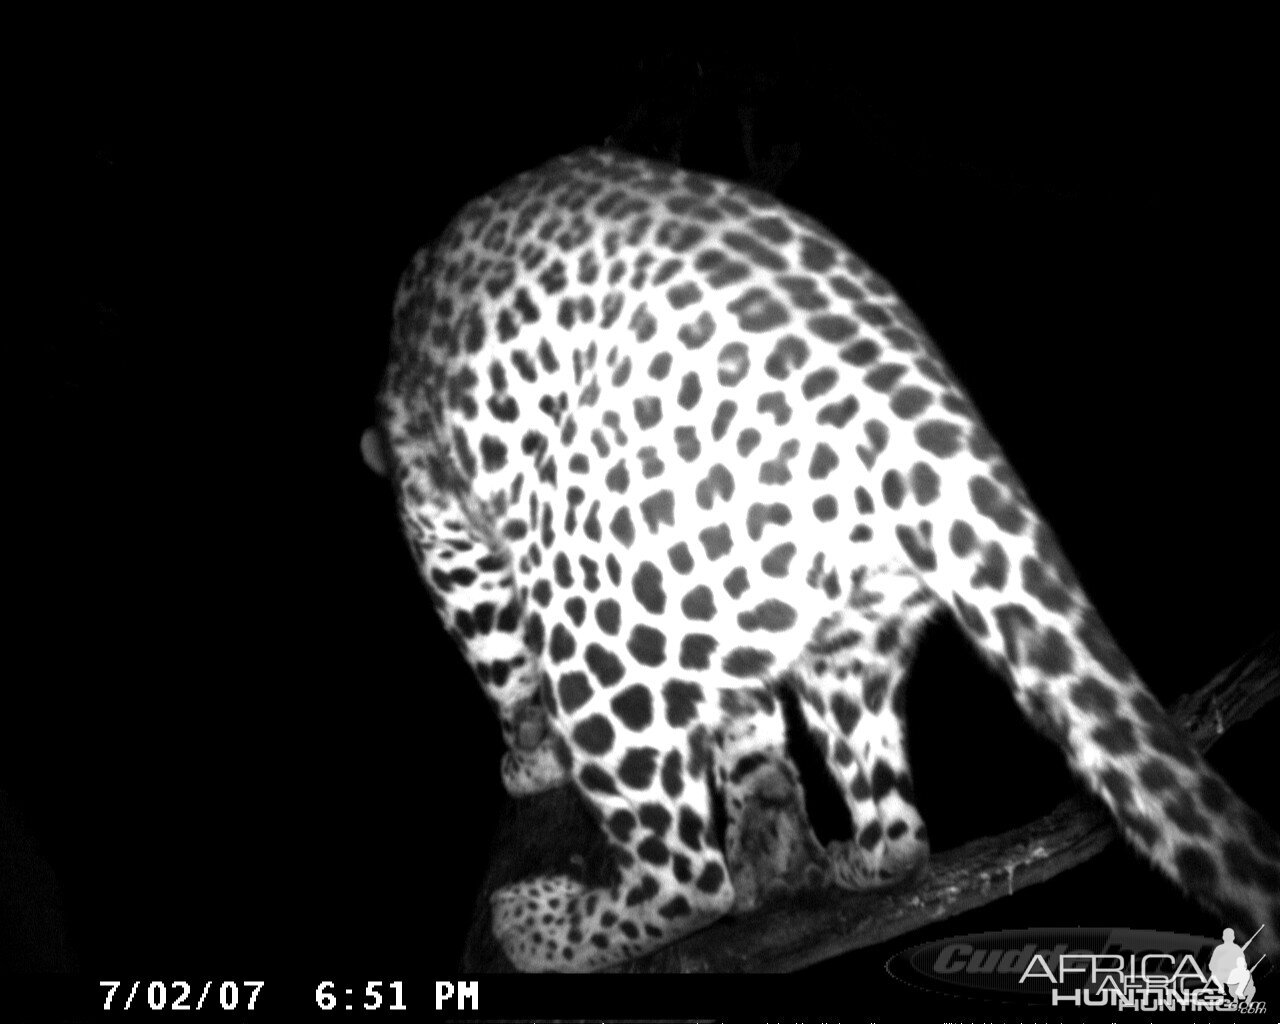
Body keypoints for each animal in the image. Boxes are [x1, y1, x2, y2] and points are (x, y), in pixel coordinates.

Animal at [363, 147, 1280, 972]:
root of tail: (926, 415)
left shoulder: (443, 528)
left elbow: (496, 655)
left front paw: (530, 757)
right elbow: (746, 718)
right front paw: (762, 801)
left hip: (596, 608)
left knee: (685, 879)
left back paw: (544, 925)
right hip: (849, 629)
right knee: (900, 830)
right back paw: (832, 859)